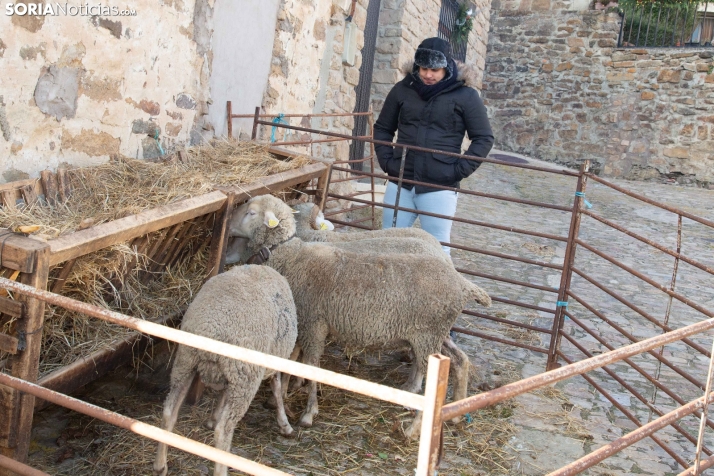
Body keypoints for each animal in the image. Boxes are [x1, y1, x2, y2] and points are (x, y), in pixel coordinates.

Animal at [153, 264, 298, 476]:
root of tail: (210, 330)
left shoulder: (231, 375)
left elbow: (223, 395)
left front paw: (212, 417)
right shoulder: (272, 361)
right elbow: (277, 390)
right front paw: (285, 424)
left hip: (186, 363)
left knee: (169, 412)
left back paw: (160, 465)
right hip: (245, 377)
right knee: (223, 431)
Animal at [224, 195, 490, 436]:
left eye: (251, 212)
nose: (227, 225)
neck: (292, 254)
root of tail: (462, 282)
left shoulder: (314, 323)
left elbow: (309, 365)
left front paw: (308, 412)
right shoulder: (303, 321)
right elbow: (292, 359)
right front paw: (287, 392)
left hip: (427, 336)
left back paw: (412, 428)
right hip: (433, 334)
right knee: (459, 360)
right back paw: (454, 411)